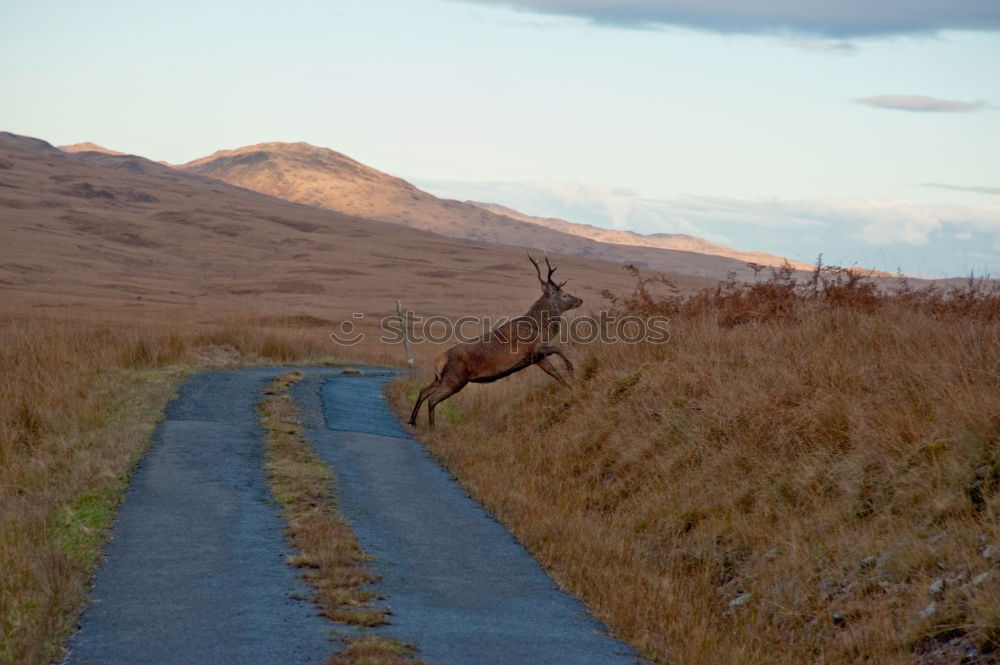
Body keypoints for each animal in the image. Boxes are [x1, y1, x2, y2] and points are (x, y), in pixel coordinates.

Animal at [404, 252, 580, 428]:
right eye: (564, 295)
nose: (580, 300)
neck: (542, 330)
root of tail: (439, 361)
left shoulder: (535, 358)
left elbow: (555, 373)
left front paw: (570, 387)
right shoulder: (533, 351)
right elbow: (557, 349)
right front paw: (570, 367)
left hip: (442, 378)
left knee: (423, 391)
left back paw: (412, 420)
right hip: (455, 379)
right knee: (432, 399)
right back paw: (432, 426)